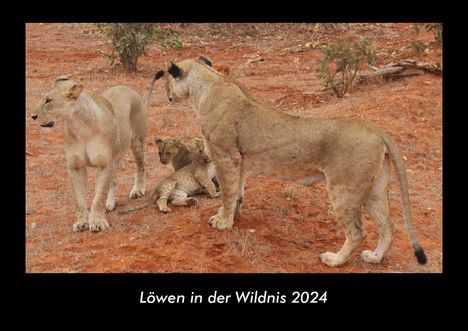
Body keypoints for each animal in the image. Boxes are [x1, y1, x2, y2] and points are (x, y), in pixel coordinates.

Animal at [30, 72, 163, 233]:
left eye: (48, 101)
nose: (32, 116)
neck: (80, 126)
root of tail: (130, 90)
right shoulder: (75, 166)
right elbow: (79, 199)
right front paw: (82, 222)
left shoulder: (104, 164)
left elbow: (99, 197)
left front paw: (97, 222)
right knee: (114, 180)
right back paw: (110, 204)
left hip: (136, 141)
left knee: (141, 165)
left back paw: (137, 190)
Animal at [152, 56, 430, 268]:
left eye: (165, 79)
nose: (166, 95)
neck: (208, 85)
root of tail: (376, 130)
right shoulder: (240, 159)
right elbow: (238, 192)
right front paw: (235, 217)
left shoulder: (225, 155)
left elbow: (227, 193)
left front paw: (222, 222)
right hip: (373, 190)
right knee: (390, 227)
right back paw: (374, 258)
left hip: (344, 189)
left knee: (357, 231)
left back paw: (334, 260)